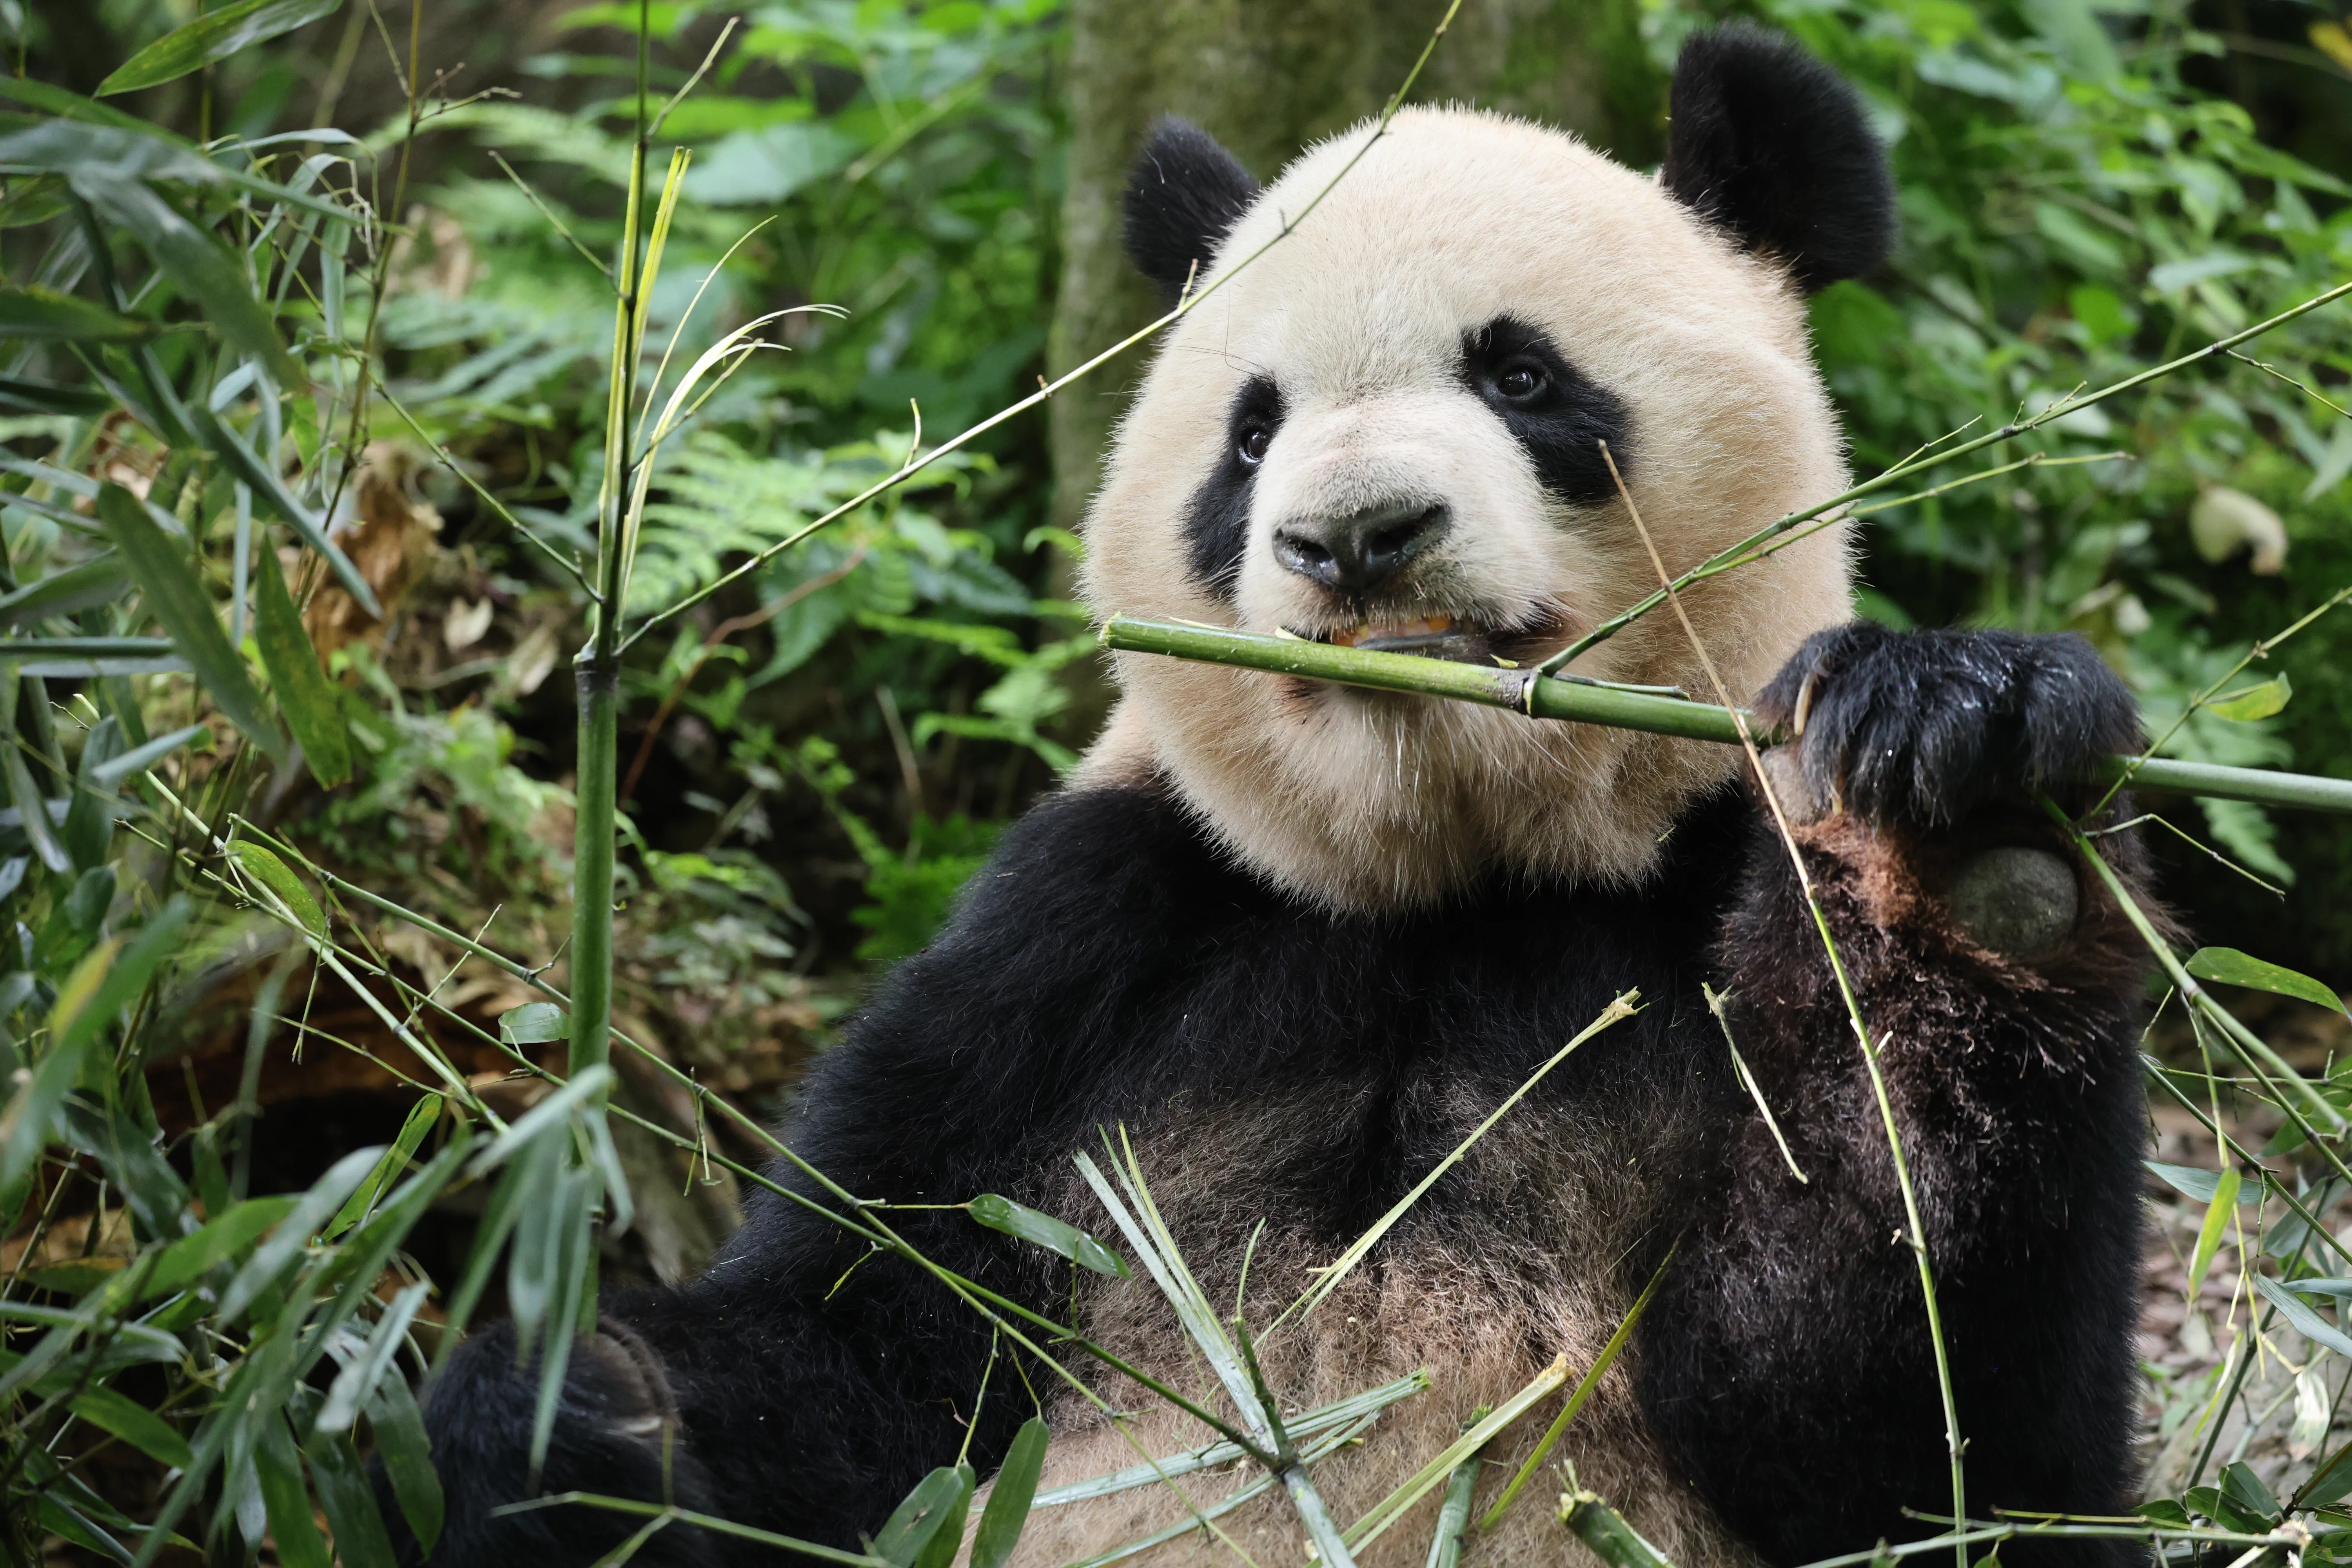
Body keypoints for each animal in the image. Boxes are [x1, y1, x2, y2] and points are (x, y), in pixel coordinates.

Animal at [411, 24, 2154, 1568]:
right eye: (1251, 434)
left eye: (1524, 375)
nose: (1355, 538)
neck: (1450, 876)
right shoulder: (1094, 932)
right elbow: (860, 1349)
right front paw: (568, 1421)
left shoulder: (1703, 882)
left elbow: (1913, 1435)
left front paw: (1967, 809)